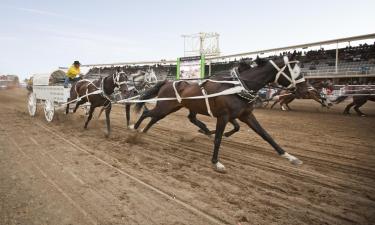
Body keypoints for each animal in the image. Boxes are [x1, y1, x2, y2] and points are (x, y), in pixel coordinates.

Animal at [134, 55, 310, 172]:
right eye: (295, 71)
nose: (306, 89)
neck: (238, 86)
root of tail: (167, 82)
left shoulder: (246, 115)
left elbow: (265, 134)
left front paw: (289, 156)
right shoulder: (223, 116)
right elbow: (219, 138)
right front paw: (216, 162)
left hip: (173, 108)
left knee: (161, 117)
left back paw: (144, 131)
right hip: (165, 106)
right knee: (147, 113)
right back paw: (134, 129)